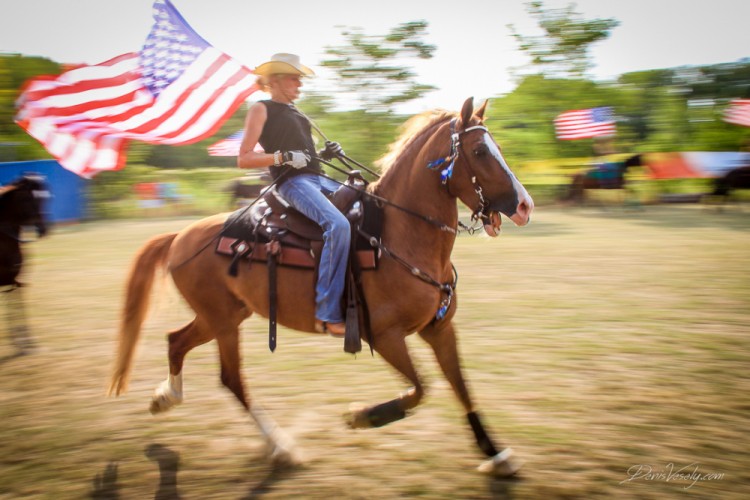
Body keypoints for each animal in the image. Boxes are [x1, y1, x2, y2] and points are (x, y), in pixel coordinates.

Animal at [0, 176, 49, 356]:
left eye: (45, 198)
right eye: (27, 199)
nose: (43, 230)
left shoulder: (13, 279)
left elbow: (16, 305)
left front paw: (26, 343)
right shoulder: (8, 281)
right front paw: (22, 342)